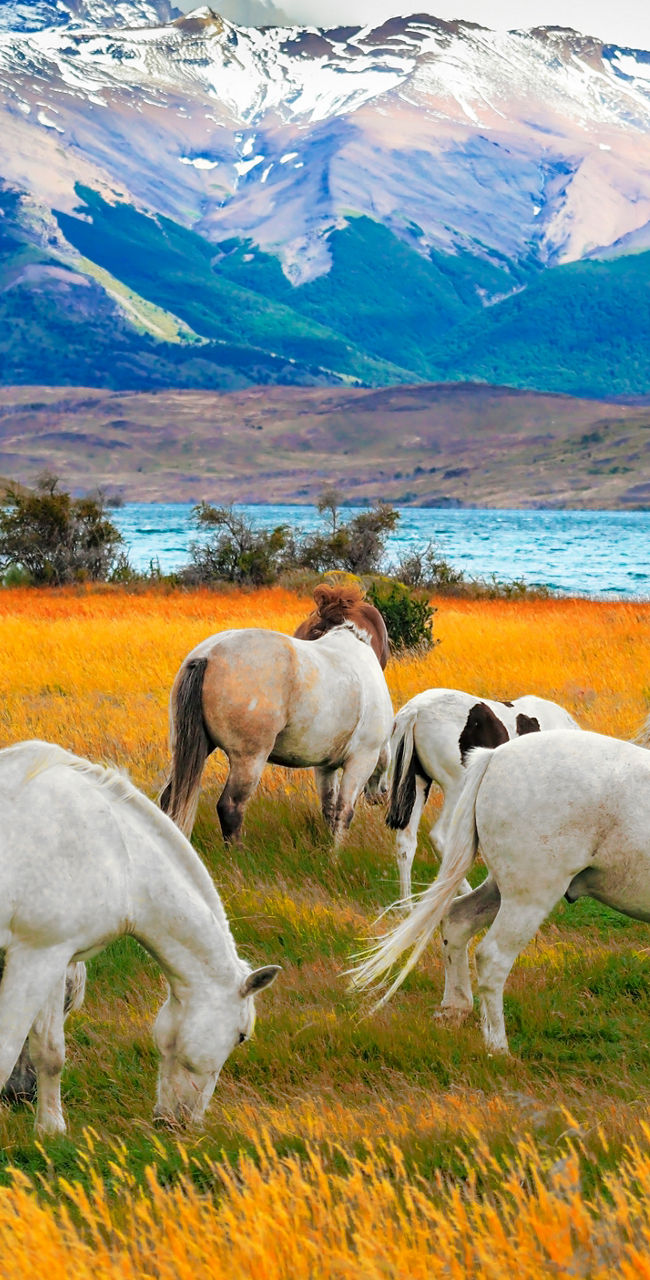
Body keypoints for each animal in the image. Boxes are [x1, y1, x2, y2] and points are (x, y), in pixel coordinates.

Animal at [0, 740, 279, 1134]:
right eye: (242, 1036)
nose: (180, 1123)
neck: (120, 855)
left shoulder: (51, 955)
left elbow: (49, 1050)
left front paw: (50, 1129)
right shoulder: (32, 957)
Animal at [160, 622, 394, 845]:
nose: (382, 795)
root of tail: (208, 654)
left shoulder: (325, 767)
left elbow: (329, 809)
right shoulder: (361, 760)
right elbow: (343, 813)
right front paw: (335, 853)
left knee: (169, 796)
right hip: (249, 760)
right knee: (230, 807)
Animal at [353, 728, 650, 1055]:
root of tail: (494, 756)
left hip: (500, 890)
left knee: (457, 920)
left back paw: (455, 1008)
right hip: (529, 897)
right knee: (492, 958)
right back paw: (498, 1047)